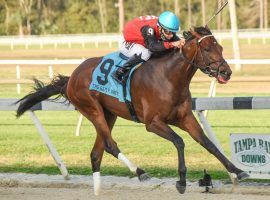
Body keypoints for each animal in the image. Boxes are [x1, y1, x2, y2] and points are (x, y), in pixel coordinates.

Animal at [15, 25, 249, 195]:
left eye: (220, 48)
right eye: (207, 49)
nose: (226, 72)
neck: (169, 77)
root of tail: (71, 77)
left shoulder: (185, 118)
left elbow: (208, 143)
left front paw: (237, 171)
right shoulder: (153, 123)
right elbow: (179, 141)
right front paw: (181, 181)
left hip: (108, 114)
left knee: (97, 152)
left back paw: (98, 190)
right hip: (92, 109)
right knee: (110, 145)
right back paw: (140, 172)